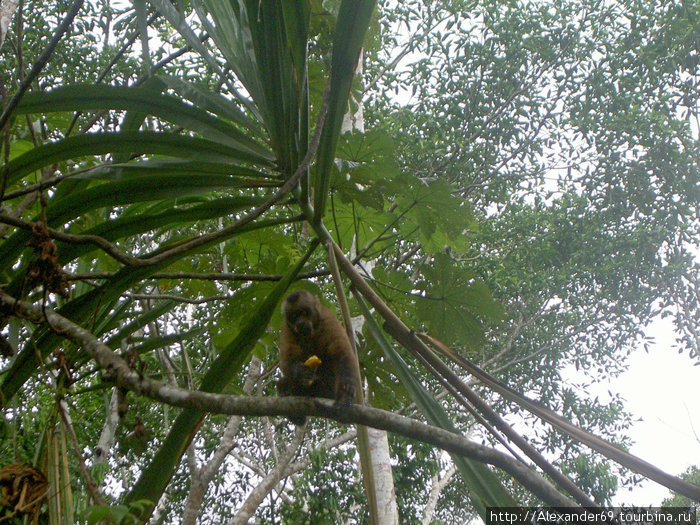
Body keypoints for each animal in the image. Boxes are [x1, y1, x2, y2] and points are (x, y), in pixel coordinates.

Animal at [276, 288, 358, 424]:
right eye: (294, 317)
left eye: (303, 313)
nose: (299, 323)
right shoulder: (287, 328)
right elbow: (286, 359)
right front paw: (301, 372)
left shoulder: (327, 319)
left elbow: (341, 353)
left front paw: (346, 393)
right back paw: (286, 391)